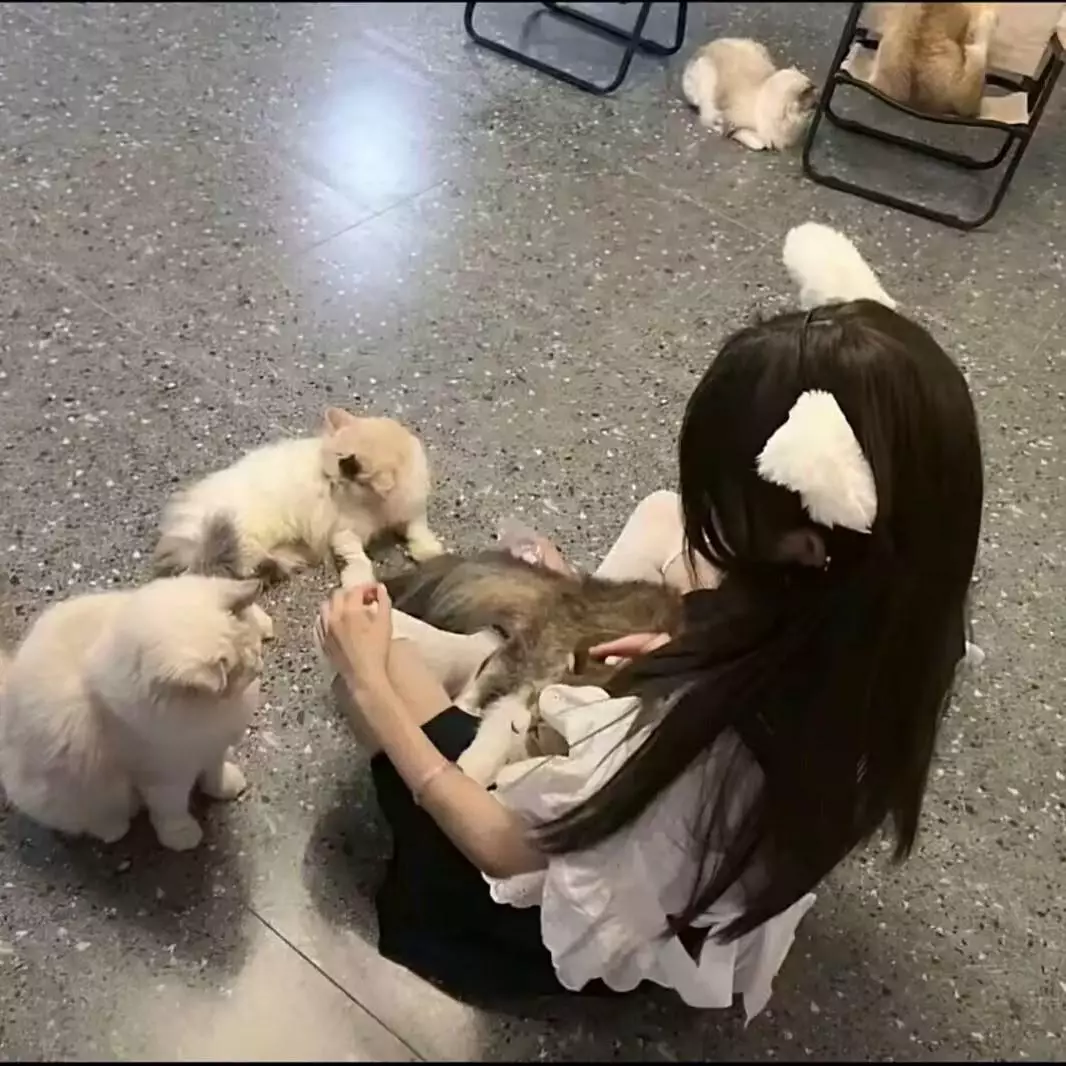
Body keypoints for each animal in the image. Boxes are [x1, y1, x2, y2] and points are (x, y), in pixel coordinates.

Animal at [0, 574, 264, 851]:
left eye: (256, 653)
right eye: (239, 673)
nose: (259, 669)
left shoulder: (212, 748)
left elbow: (215, 773)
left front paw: (225, 787)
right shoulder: (165, 776)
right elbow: (172, 810)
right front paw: (182, 836)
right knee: (94, 821)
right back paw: (113, 827)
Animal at [154, 407, 445, 637]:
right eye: (329, 480)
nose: (331, 488)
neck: (380, 510)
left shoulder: (411, 509)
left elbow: (418, 530)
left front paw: (427, 550)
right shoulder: (343, 531)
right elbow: (357, 558)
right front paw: (359, 581)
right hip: (234, 549)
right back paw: (261, 625)